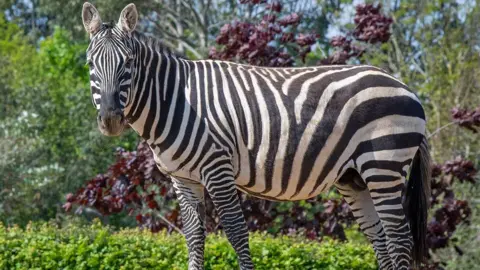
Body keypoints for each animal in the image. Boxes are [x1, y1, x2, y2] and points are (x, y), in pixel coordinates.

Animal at [82, 2, 432, 270]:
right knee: (380, 239)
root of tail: (405, 87)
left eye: (128, 63)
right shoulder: (183, 179)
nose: (111, 120)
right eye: (90, 64)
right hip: (354, 177)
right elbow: (194, 238)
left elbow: (237, 233)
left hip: (383, 166)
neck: (175, 99)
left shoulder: (217, 168)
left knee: (399, 238)